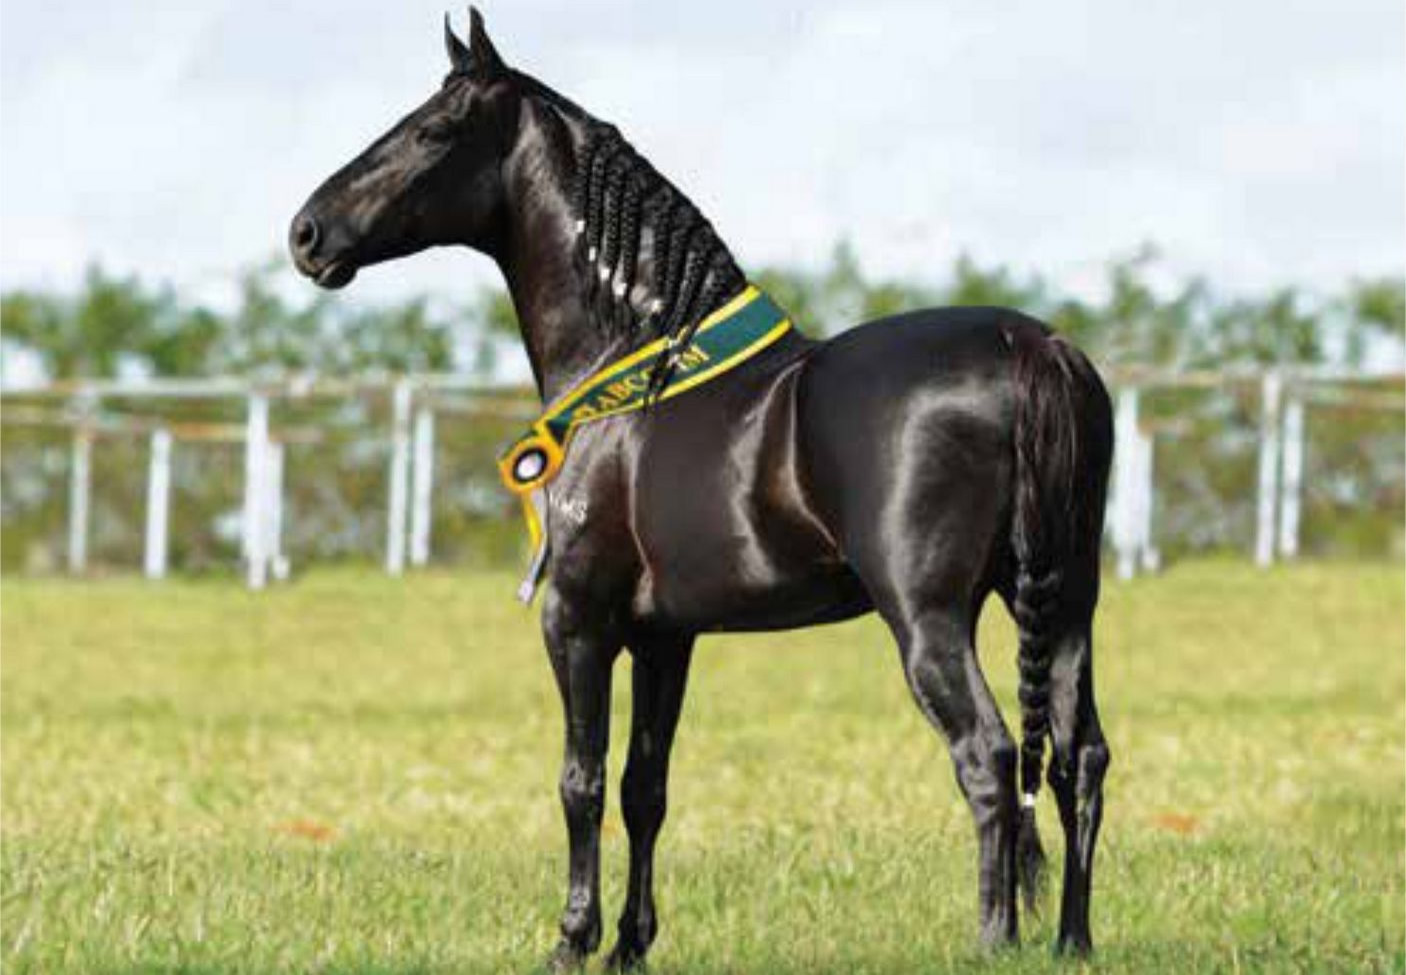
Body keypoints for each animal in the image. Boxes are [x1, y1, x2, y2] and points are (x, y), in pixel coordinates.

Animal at [290, 10, 1114, 970]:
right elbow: (645, 784)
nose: (307, 234)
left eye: (431, 130)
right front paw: (629, 945)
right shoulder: (664, 636)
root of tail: (1028, 347)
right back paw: (1072, 939)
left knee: (987, 754)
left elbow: (580, 779)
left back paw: (994, 937)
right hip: (1063, 603)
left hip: (930, 617)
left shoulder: (577, 618)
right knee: (1078, 758)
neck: (631, 364)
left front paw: (571, 940)